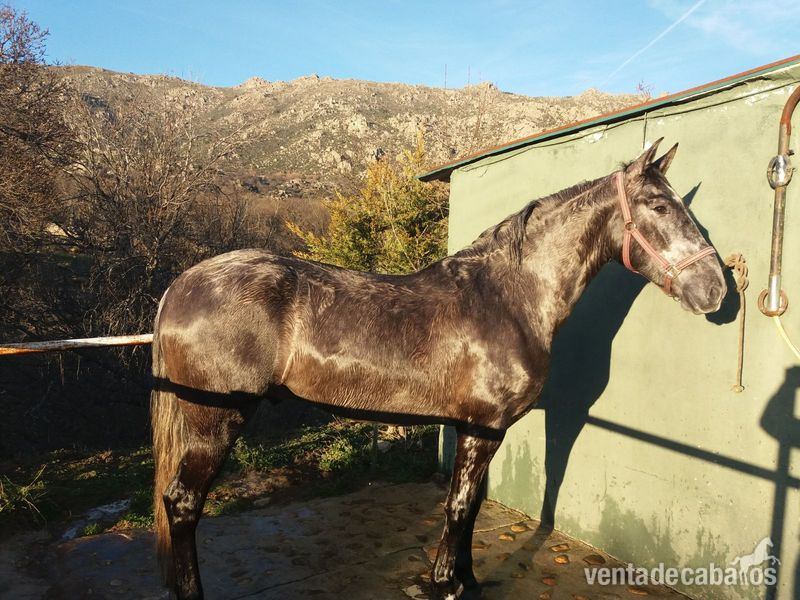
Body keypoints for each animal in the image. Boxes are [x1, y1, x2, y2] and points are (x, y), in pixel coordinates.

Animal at [150, 139, 725, 600]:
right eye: (658, 205)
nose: (717, 290)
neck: (510, 298)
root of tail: (183, 284)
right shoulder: (484, 427)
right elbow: (459, 506)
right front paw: (446, 583)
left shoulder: (482, 427)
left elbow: (470, 507)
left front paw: (466, 577)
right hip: (215, 419)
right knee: (182, 504)